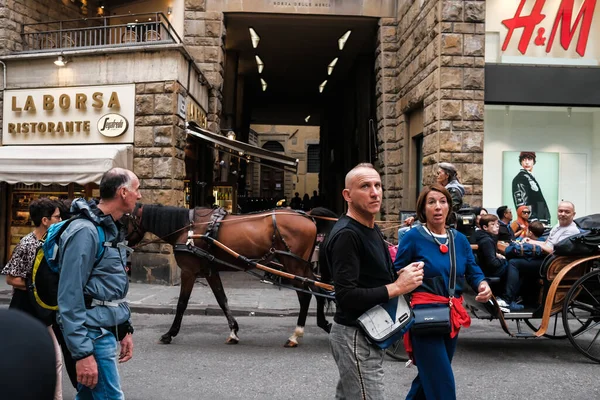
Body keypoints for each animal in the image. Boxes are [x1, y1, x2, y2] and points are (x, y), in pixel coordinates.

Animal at [124, 203, 338, 346]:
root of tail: (307, 215)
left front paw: (170, 333)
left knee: (305, 296)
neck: (189, 229)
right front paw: (233, 331)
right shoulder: (210, 270)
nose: (121, 243)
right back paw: (323, 323)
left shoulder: (189, 271)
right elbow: (221, 299)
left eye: (124, 219)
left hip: (293, 265)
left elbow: (182, 303)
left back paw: (296, 334)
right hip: (302, 266)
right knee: (318, 291)